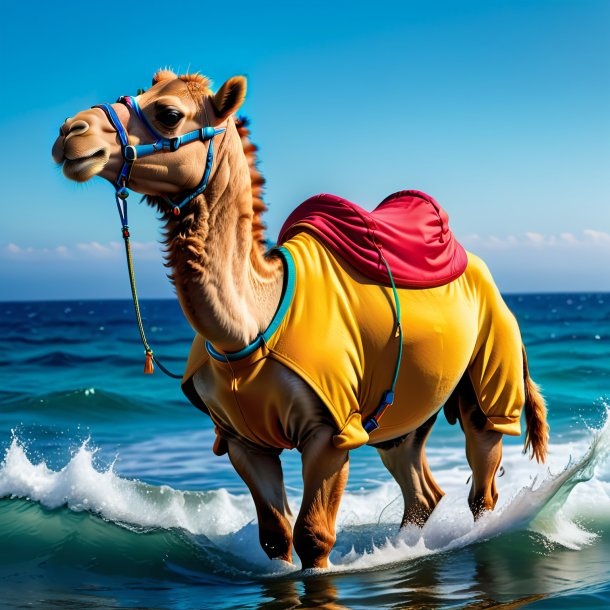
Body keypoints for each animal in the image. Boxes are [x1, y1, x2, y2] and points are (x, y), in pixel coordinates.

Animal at [51, 69, 548, 568]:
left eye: (169, 113)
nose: (70, 132)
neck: (250, 329)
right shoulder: (240, 440)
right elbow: (275, 537)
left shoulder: (330, 430)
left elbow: (313, 535)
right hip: (404, 412)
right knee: (419, 487)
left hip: (493, 369)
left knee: (482, 475)